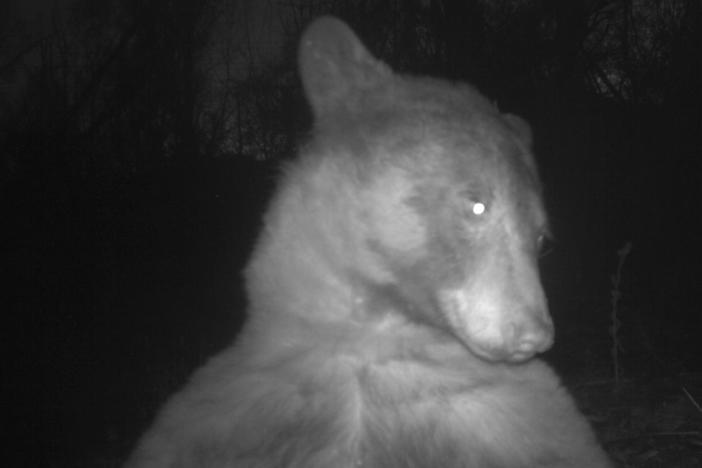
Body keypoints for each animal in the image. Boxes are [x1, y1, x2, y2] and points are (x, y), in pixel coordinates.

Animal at [124, 15, 612, 468]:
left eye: (542, 239)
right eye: (477, 205)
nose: (535, 334)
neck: (374, 333)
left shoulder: (513, 414)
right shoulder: (231, 410)